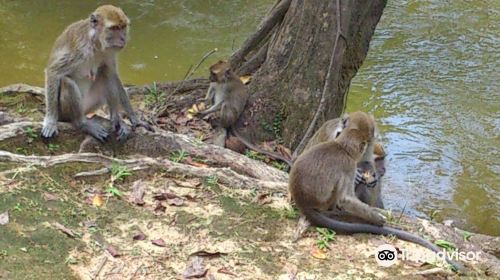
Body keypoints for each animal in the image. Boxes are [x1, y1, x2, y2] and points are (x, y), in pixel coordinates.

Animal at [41, 4, 151, 142]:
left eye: (123, 27)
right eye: (114, 28)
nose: (123, 39)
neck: (96, 43)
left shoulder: (109, 53)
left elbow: (113, 74)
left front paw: (133, 118)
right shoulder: (79, 50)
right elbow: (54, 72)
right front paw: (50, 122)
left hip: (90, 105)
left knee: (105, 73)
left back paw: (116, 119)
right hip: (64, 111)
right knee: (67, 82)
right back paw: (82, 124)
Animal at [290, 111, 464, 272]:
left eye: (368, 139)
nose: (382, 169)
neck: (341, 145)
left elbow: (366, 163)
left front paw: (370, 173)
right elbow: (345, 195)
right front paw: (377, 217)